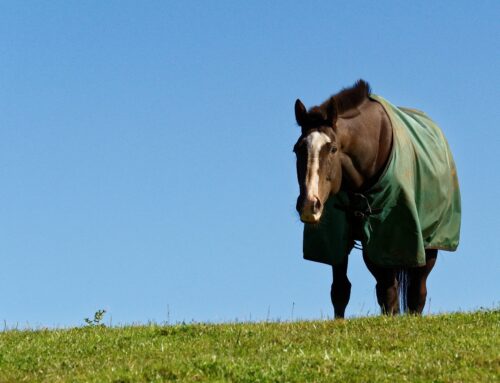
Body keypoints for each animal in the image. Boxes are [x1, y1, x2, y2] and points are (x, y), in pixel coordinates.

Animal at [292, 80, 460, 318]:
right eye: (297, 149)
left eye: (332, 148)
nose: (309, 205)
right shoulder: (339, 240)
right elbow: (341, 290)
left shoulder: (389, 238)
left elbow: (389, 292)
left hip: (429, 243)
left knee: (417, 292)